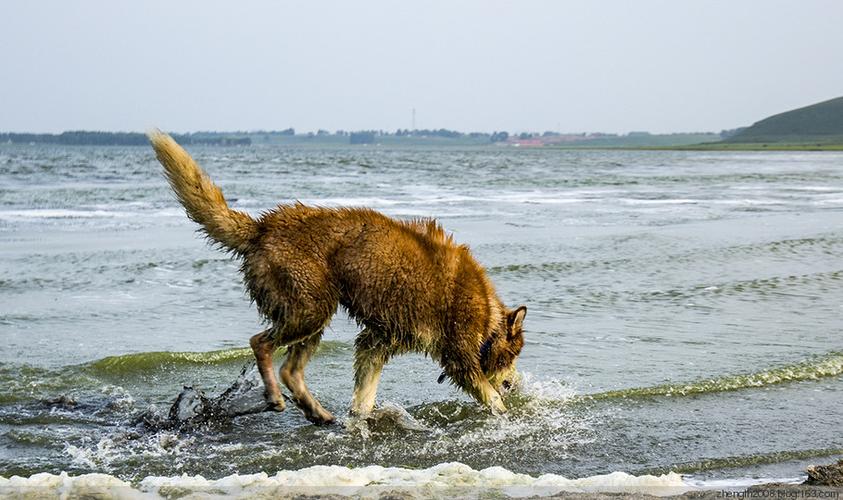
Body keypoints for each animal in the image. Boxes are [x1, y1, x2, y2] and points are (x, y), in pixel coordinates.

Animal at [148, 131, 524, 424]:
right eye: (514, 356)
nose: (513, 384)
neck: (487, 318)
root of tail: (263, 227)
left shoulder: (377, 342)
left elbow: (365, 393)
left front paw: (358, 419)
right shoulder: (458, 356)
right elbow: (490, 396)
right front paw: (508, 413)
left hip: (311, 315)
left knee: (290, 369)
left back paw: (316, 412)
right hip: (311, 308)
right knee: (261, 344)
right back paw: (276, 397)